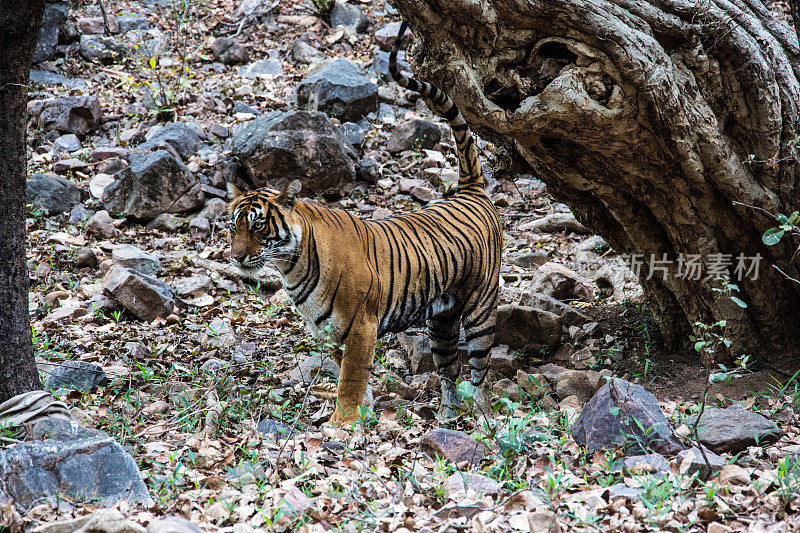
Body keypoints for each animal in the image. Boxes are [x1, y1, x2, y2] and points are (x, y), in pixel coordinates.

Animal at [225, 21, 500, 424]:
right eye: (234, 227)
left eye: (258, 225)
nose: (237, 257)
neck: (291, 267)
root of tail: (470, 191)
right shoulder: (329, 330)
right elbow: (345, 368)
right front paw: (363, 411)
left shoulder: (361, 325)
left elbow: (351, 373)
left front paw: (344, 422)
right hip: (442, 322)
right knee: (450, 370)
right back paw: (449, 416)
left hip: (480, 309)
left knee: (481, 373)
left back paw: (482, 419)